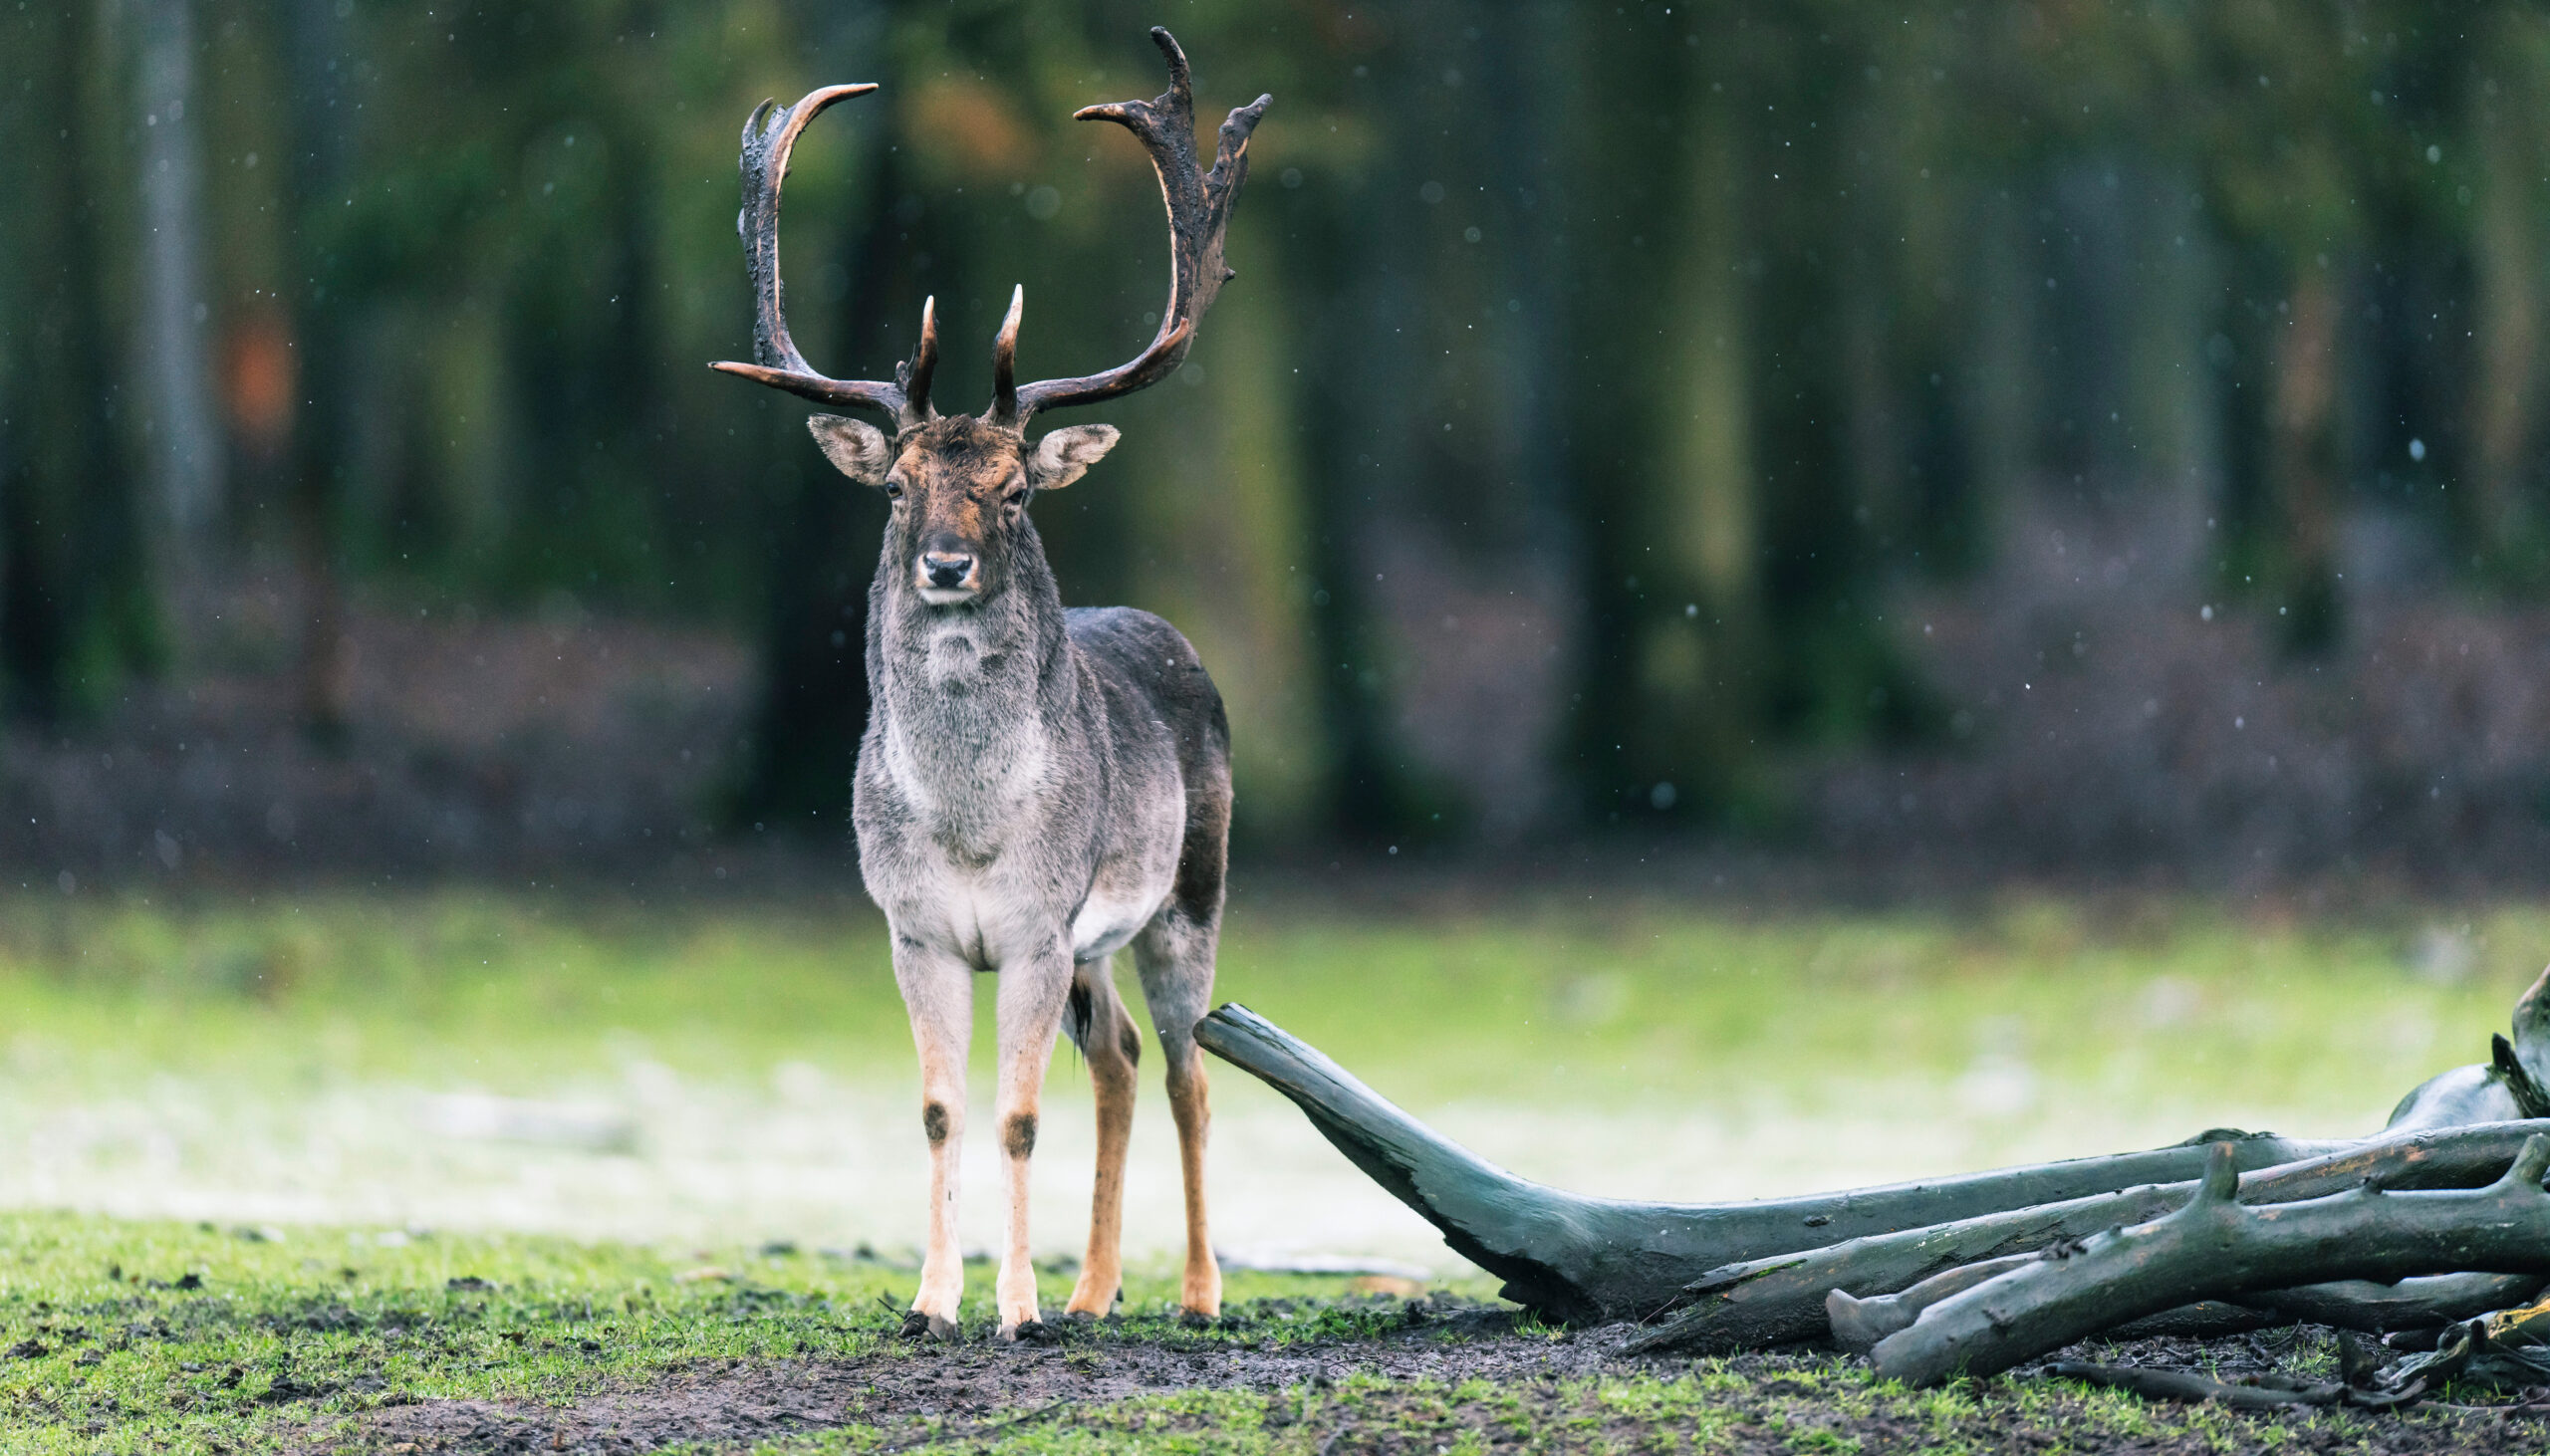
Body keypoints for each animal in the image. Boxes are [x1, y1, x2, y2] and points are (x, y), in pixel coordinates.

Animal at [711, 30, 1268, 1343]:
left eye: (1014, 488)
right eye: (896, 485)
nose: (946, 563)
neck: (967, 828)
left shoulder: (1033, 925)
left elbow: (1017, 1114)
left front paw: (1011, 1309)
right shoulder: (911, 925)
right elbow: (941, 1109)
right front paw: (931, 1302)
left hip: (1189, 895)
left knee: (1189, 1066)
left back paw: (1195, 1293)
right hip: (1097, 947)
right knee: (1119, 1057)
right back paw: (1095, 1288)